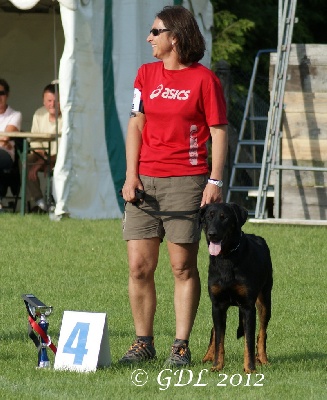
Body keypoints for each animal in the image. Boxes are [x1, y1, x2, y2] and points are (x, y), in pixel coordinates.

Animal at [200, 202, 274, 374]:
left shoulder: (248, 306)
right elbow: (219, 338)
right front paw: (217, 365)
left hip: (265, 299)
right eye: (208, 217)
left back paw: (263, 359)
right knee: (215, 330)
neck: (226, 257)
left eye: (224, 217)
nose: (212, 234)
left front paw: (250, 368)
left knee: (262, 332)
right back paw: (208, 356)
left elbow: (249, 340)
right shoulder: (217, 305)